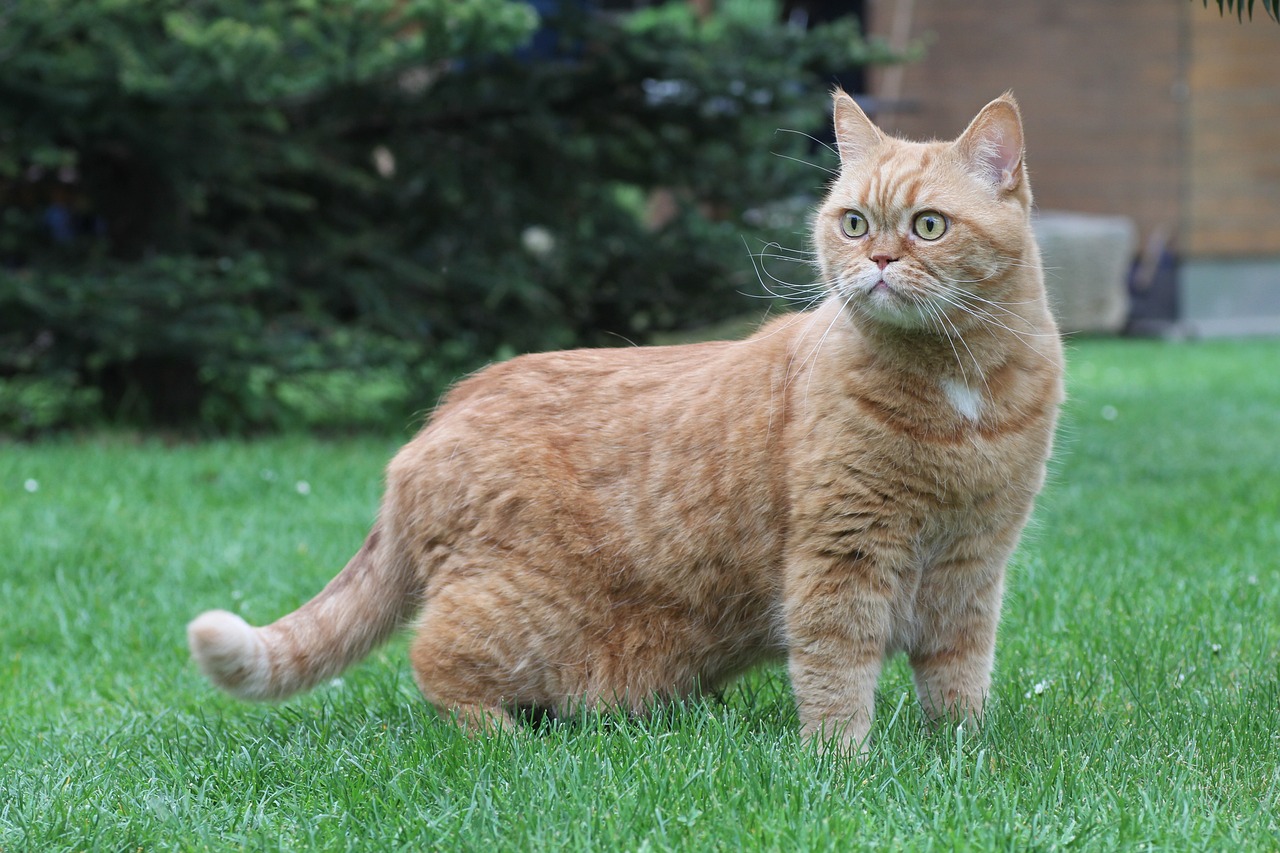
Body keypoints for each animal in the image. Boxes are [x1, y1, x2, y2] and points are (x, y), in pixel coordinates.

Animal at [189, 89, 1064, 747]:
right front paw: (840, 758)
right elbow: (837, 671)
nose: (877, 262)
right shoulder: (840, 556)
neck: (957, 389)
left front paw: (959, 749)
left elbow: (958, 672)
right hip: (520, 619)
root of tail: (439, 417)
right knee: (433, 658)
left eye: (928, 226)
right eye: (853, 222)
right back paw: (500, 735)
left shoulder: (974, 564)